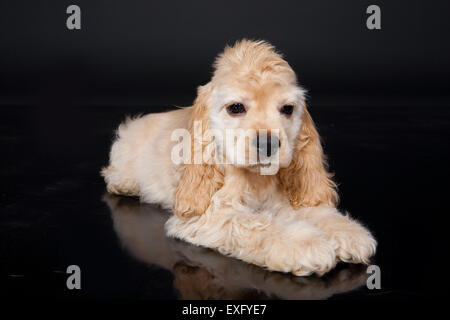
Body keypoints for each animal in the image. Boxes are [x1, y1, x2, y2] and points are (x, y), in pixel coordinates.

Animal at [102, 39, 376, 276]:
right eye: (235, 108)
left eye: (287, 109)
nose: (268, 143)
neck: (256, 179)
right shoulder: (205, 216)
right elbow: (255, 224)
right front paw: (305, 244)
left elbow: (316, 212)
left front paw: (348, 232)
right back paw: (125, 185)